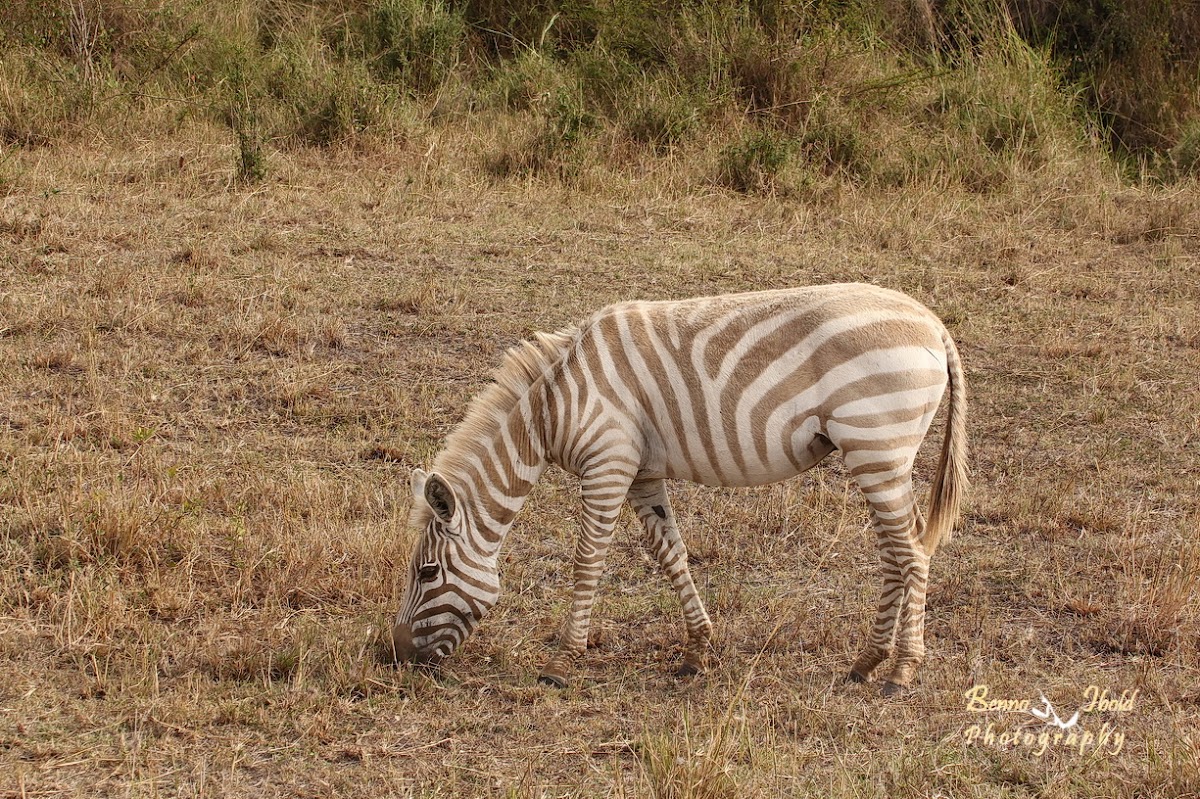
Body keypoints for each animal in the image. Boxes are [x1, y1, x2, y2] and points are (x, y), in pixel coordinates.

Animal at [388, 283, 969, 695]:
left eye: (427, 572)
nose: (390, 656)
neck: (554, 405)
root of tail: (933, 323)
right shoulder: (642, 473)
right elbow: (671, 555)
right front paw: (696, 650)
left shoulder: (607, 463)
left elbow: (588, 562)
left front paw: (561, 661)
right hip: (877, 457)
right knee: (896, 552)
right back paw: (866, 662)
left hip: (876, 446)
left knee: (913, 553)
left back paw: (901, 671)